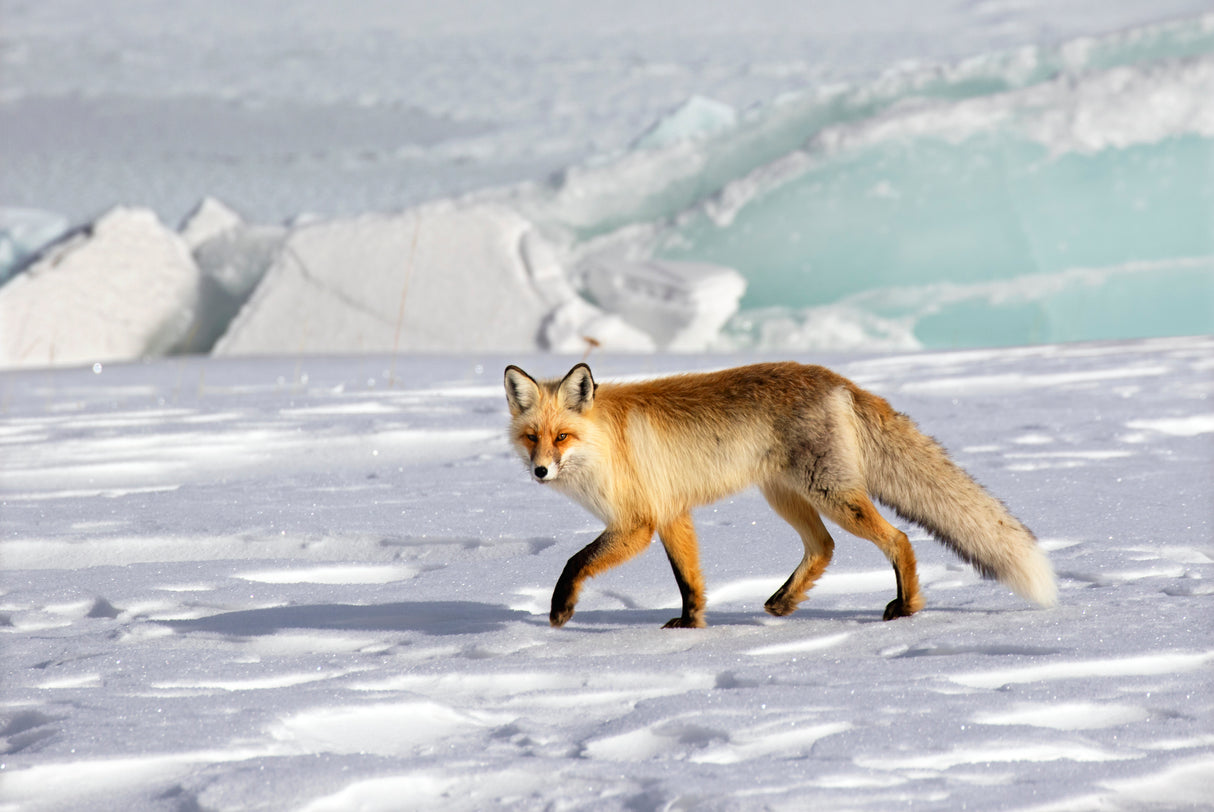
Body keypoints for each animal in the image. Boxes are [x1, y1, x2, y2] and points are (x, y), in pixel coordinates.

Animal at [503, 361, 1057, 629]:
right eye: (533, 437)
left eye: (562, 437)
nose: (540, 471)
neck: (605, 444)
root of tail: (838, 379)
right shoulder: (671, 512)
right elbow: (689, 581)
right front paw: (691, 625)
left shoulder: (638, 522)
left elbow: (574, 562)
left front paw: (560, 610)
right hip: (786, 497)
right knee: (824, 547)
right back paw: (784, 602)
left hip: (832, 494)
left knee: (897, 538)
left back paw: (906, 606)